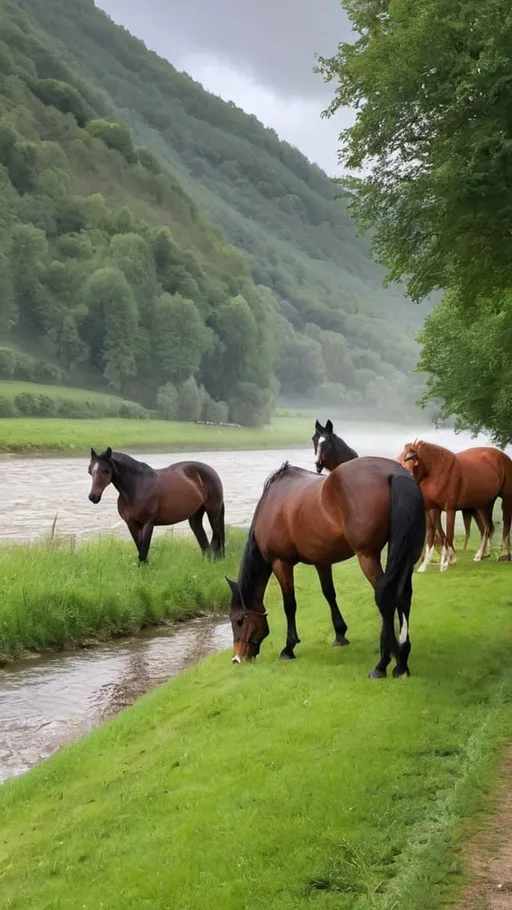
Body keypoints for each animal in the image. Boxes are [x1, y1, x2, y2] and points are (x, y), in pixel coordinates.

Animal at [87, 448, 224, 564]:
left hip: (213, 511)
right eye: (90, 471)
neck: (137, 487)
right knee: (204, 542)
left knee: (216, 534)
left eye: (106, 471)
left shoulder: (148, 523)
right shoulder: (131, 523)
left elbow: (143, 551)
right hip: (195, 516)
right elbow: (140, 549)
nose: (93, 497)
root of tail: (212, 471)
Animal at [227, 460, 424, 680]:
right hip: (406, 557)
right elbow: (329, 593)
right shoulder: (321, 560)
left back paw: (384, 664)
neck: (271, 502)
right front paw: (340, 634)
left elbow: (290, 604)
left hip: (368, 557)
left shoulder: (281, 563)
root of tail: (394, 473)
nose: (237, 659)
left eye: (238, 621)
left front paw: (288, 648)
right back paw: (403, 656)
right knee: (404, 596)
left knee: (386, 599)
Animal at [396, 440, 512, 568]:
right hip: (484, 504)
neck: (439, 472)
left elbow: (449, 533)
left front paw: (450, 559)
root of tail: (505, 458)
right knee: (488, 528)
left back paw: (504, 555)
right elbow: (438, 532)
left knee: (505, 524)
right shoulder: (433, 509)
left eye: (410, 463)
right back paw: (481, 555)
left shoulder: (450, 509)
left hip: (506, 498)